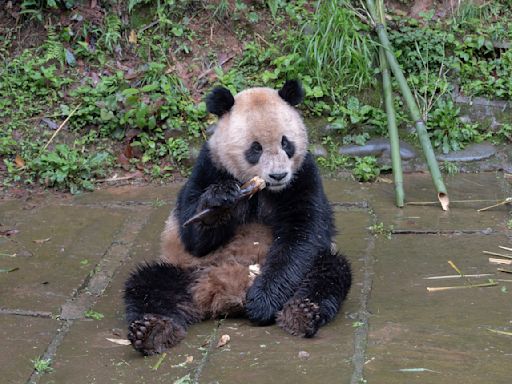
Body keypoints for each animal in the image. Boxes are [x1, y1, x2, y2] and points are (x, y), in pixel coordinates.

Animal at [124, 79, 352, 356]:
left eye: (286, 143)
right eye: (255, 148)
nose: (278, 175)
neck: (260, 189)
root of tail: (225, 293)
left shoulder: (302, 176)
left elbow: (302, 234)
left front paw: (263, 302)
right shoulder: (209, 166)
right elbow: (192, 234)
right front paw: (219, 203)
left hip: (312, 268)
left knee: (329, 272)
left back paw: (302, 314)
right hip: (187, 271)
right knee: (148, 285)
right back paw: (153, 331)